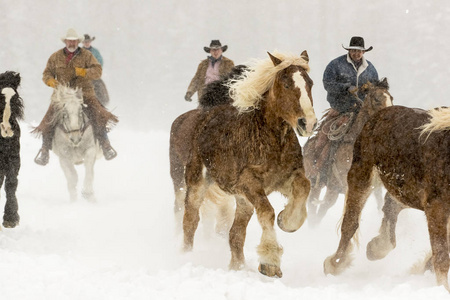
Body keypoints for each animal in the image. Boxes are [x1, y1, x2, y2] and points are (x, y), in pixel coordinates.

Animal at [182, 51, 316, 276]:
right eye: (286, 84)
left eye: (310, 84)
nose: (308, 123)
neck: (273, 140)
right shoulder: (249, 183)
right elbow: (268, 213)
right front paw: (270, 263)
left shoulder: (287, 178)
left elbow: (304, 189)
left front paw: (286, 221)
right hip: (198, 183)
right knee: (190, 222)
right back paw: (185, 256)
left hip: (243, 201)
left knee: (235, 234)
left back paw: (238, 268)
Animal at [324, 105, 450, 290]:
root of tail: (380, 113)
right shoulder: (436, 206)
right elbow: (441, 256)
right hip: (362, 175)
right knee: (350, 223)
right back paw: (335, 263)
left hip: (404, 190)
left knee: (390, 205)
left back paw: (376, 248)